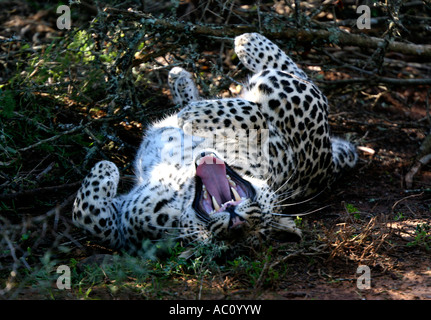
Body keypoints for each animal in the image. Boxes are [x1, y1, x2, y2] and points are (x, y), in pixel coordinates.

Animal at [72, 32, 358, 258]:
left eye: (259, 227)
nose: (237, 222)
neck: (184, 186)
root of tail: (328, 169)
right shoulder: (128, 223)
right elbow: (90, 217)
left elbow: (88, 217)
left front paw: (105, 168)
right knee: (291, 77)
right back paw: (183, 80)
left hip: (297, 108)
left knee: (286, 76)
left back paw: (245, 43)